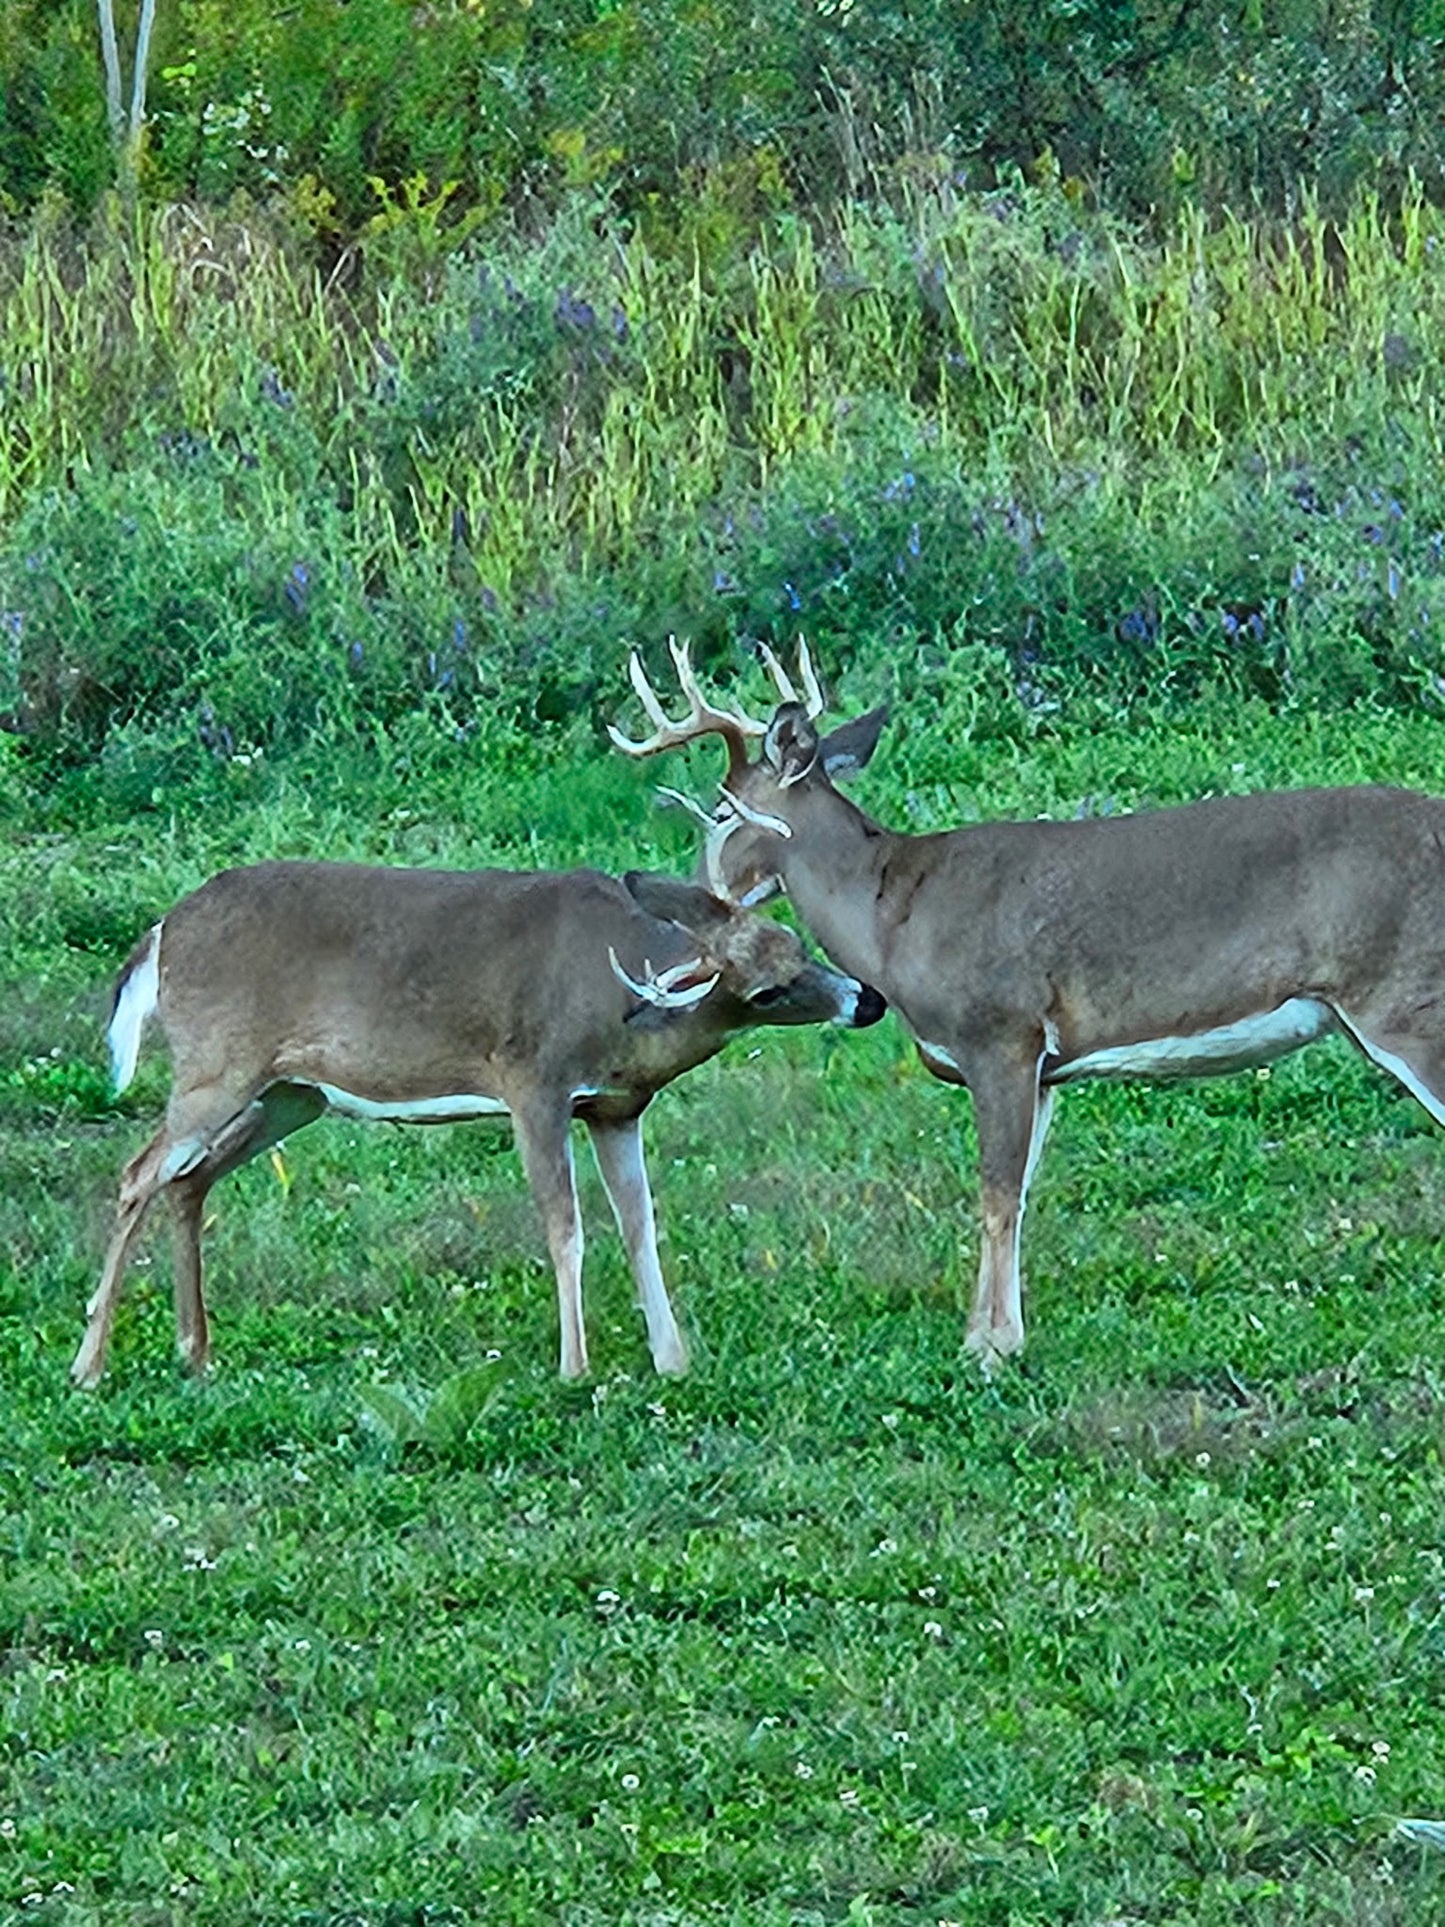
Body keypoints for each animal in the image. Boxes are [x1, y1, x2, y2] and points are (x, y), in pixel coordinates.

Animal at [72, 860, 884, 1387]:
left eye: (798, 943)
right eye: (766, 991)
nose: (868, 1000)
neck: (621, 1003)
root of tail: (160, 931)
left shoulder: (615, 1110)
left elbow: (640, 1226)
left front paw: (673, 1360)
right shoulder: (533, 1081)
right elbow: (565, 1227)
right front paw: (574, 1368)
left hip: (291, 1092)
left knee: (189, 1180)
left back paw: (195, 1351)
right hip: (217, 1065)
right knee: (138, 1173)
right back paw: (90, 1364)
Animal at [610, 638, 1445, 1365]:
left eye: (722, 813)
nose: (691, 900)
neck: (893, 919)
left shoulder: (999, 1032)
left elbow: (996, 1193)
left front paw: (991, 1347)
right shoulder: (1045, 1068)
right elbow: (1017, 1191)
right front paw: (984, 1333)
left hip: (1405, 999)